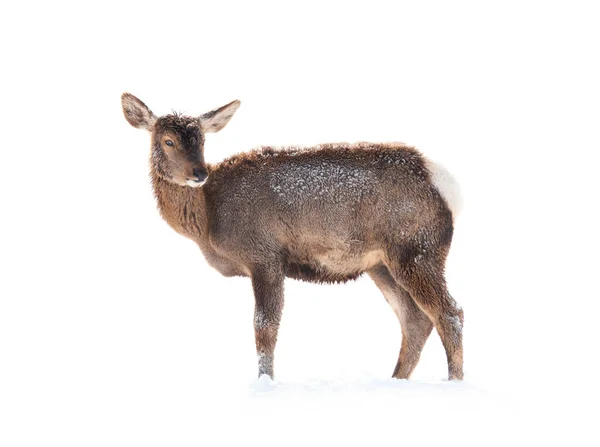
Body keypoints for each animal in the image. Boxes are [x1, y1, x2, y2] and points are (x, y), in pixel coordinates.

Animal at [122, 93, 466, 382]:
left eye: (202, 140)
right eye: (168, 140)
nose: (199, 172)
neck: (207, 221)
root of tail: (445, 184)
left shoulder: (264, 255)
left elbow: (264, 326)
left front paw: (265, 382)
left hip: (417, 248)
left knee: (449, 313)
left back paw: (454, 381)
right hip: (381, 264)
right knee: (415, 320)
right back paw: (396, 380)